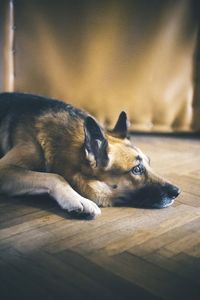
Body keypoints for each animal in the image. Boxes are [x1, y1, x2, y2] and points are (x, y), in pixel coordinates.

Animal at [0, 92, 180, 218]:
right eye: (136, 169)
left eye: (149, 163)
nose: (177, 192)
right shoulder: (4, 169)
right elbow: (55, 176)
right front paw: (77, 199)